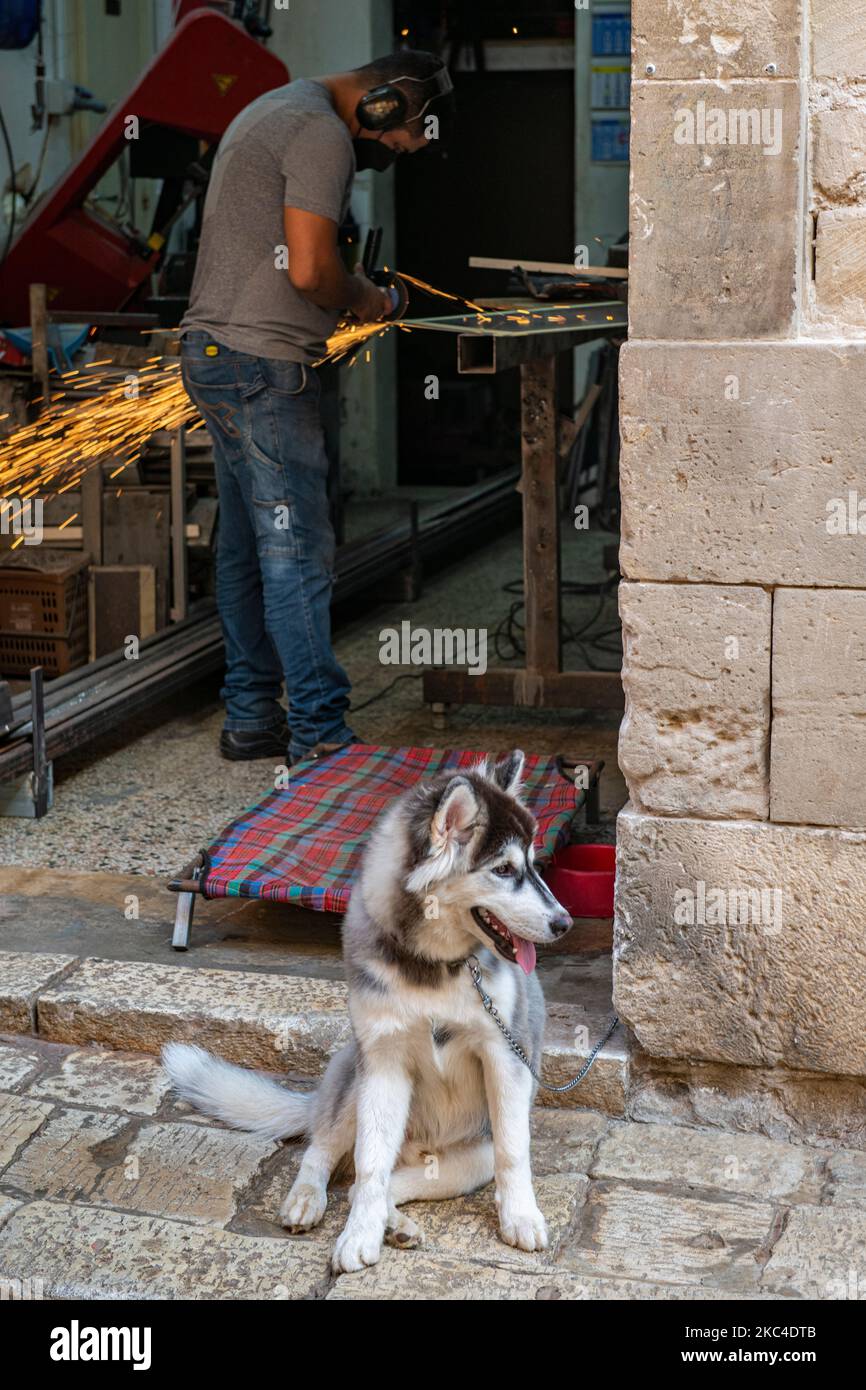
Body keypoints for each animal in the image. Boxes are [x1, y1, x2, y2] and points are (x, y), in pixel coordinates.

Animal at [163, 750, 572, 1273]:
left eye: (534, 865)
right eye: (503, 869)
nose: (565, 923)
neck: (435, 966)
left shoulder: (505, 1056)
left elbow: (513, 1154)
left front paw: (520, 1216)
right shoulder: (383, 1061)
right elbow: (369, 1163)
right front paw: (358, 1235)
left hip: (469, 1156)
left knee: (394, 1179)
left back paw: (396, 1223)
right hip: (353, 1077)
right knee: (327, 1153)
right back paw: (310, 1200)